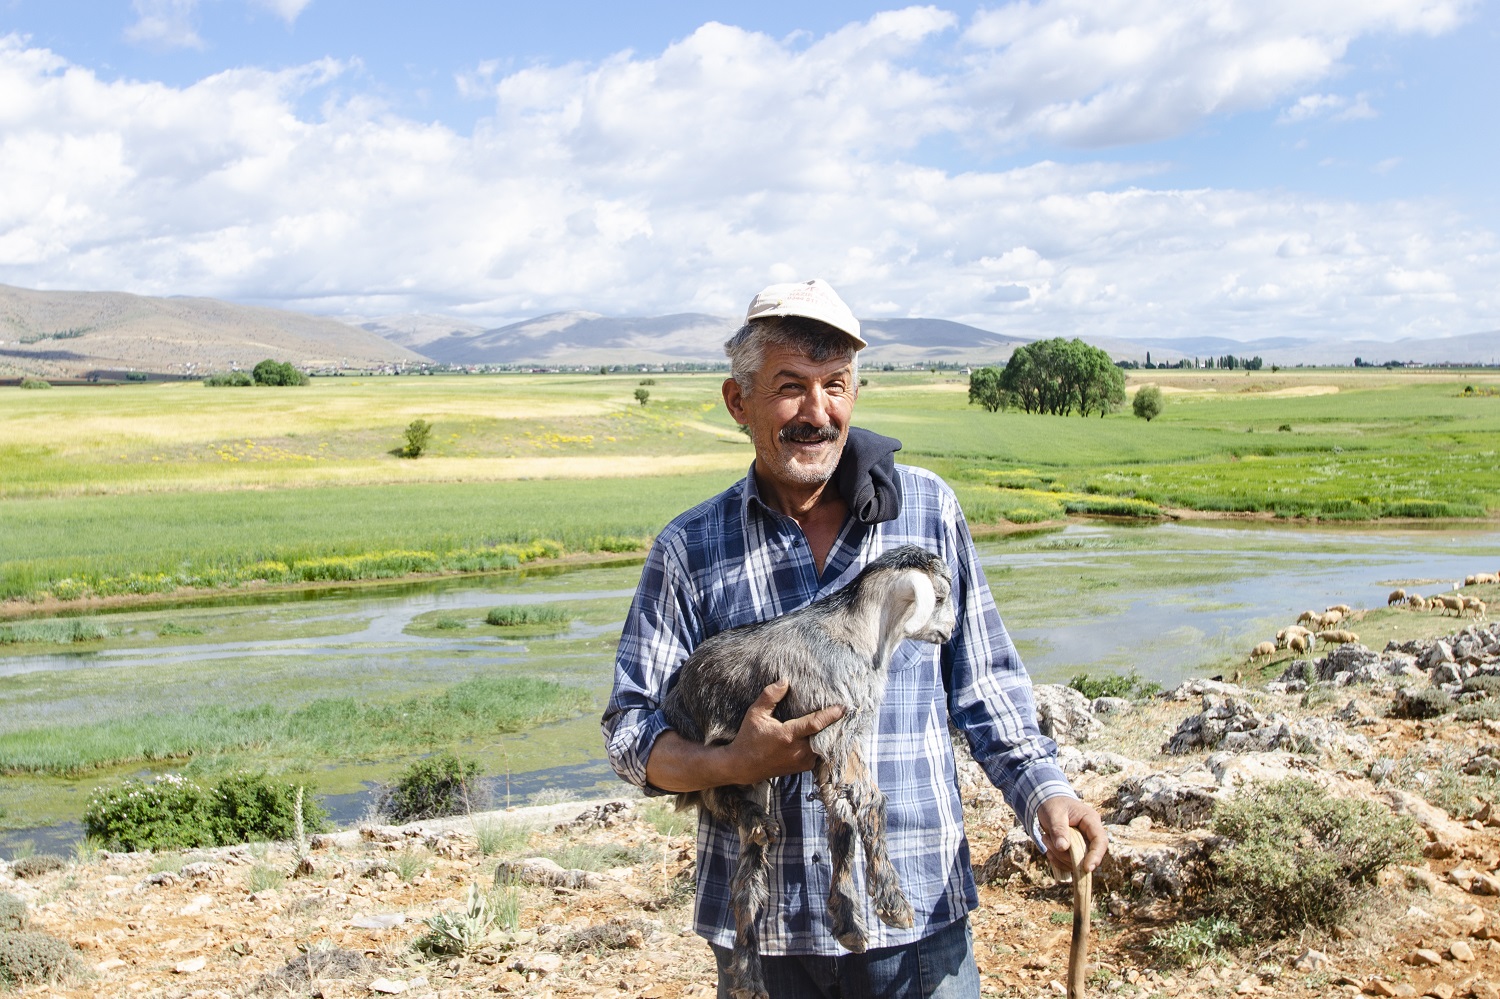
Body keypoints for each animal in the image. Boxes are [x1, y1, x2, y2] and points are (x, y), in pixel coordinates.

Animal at [663, 540, 954, 996]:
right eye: (940, 596)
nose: (953, 628)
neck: (856, 633)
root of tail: (675, 703)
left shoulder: (834, 747)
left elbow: (842, 822)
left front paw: (848, 923)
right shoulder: (834, 728)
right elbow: (871, 802)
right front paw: (893, 904)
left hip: (755, 783)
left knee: (746, 884)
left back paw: (750, 976)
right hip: (725, 756)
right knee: (718, 792)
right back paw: (758, 822)